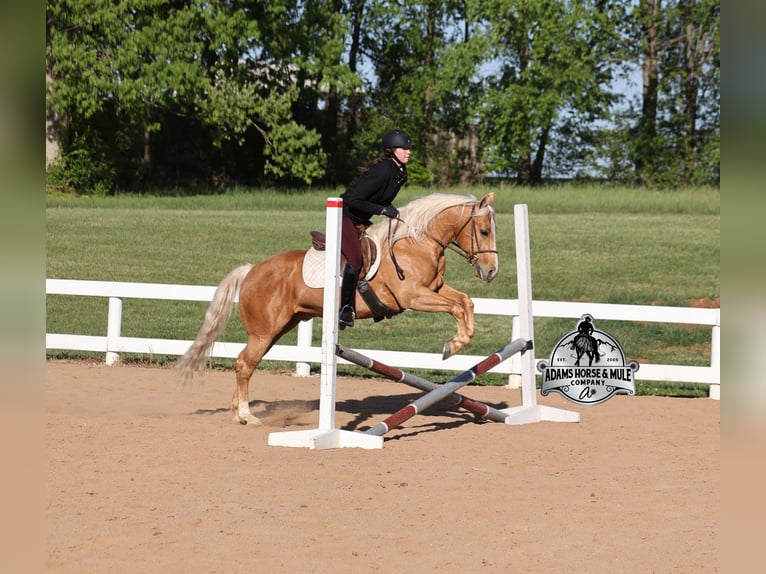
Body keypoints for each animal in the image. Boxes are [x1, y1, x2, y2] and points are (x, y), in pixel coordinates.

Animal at [176, 192, 499, 425]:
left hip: (279, 328)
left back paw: (236, 413)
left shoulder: (434, 289)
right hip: (264, 332)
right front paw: (452, 346)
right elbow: (455, 307)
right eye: (484, 231)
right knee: (244, 364)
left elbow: (464, 302)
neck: (416, 244)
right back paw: (246, 415)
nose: (491, 272)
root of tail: (252, 269)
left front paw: (458, 343)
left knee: (246, 363)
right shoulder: (413, 297)